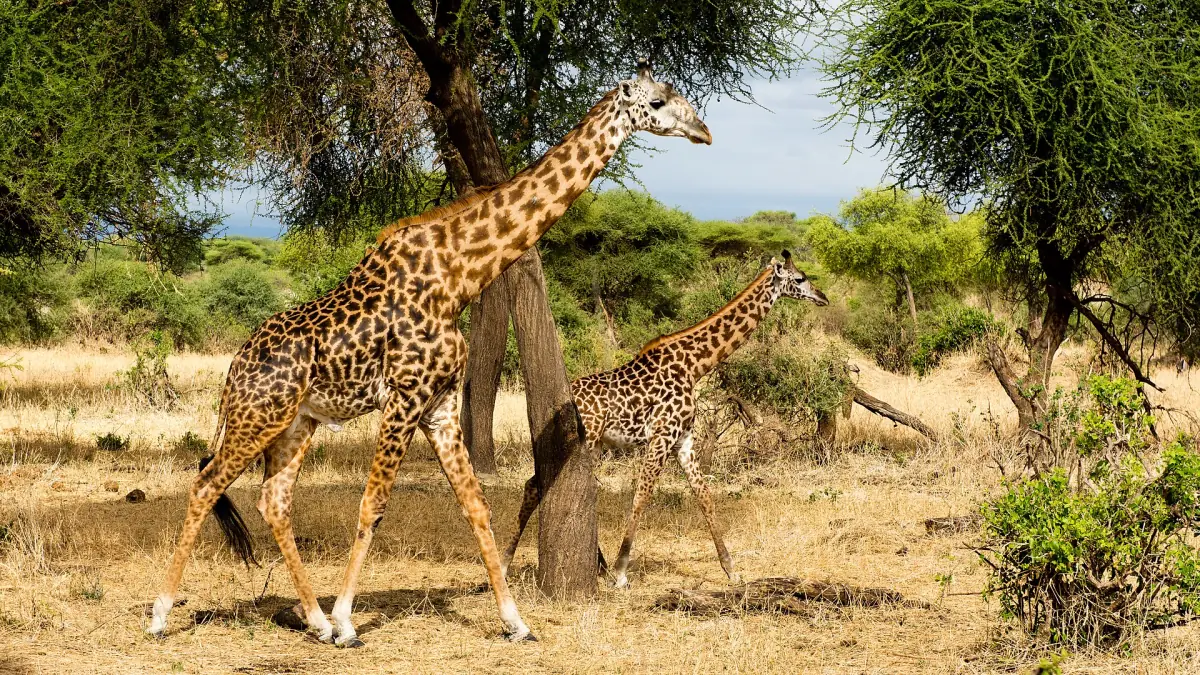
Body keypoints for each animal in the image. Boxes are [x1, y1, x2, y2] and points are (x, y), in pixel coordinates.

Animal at [145, 60, 711, 647]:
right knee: (206, 484)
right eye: (659, 102)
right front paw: (348, 620)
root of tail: (234, 368)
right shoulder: (405, 397)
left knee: (273, 500)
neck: (460, 275)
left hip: (297, 422)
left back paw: (314, 620)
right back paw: (163, 615)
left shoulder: (439, 405)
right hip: (259, 416)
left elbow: (477, 506)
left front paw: (515, 622)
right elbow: (374, 503)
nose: (705, 132)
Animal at [502, 252, 828, 588]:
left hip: (592, 443)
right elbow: (642, 495)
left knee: (542, 485)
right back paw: (506, 563)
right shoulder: (661, 435)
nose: (823, 297)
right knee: (538, 485)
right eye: (800, 278)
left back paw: (584, 564)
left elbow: (704, 495)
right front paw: (621, 571)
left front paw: (731, 570)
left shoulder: (683, 440)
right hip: (588, 439)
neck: (695, 366)